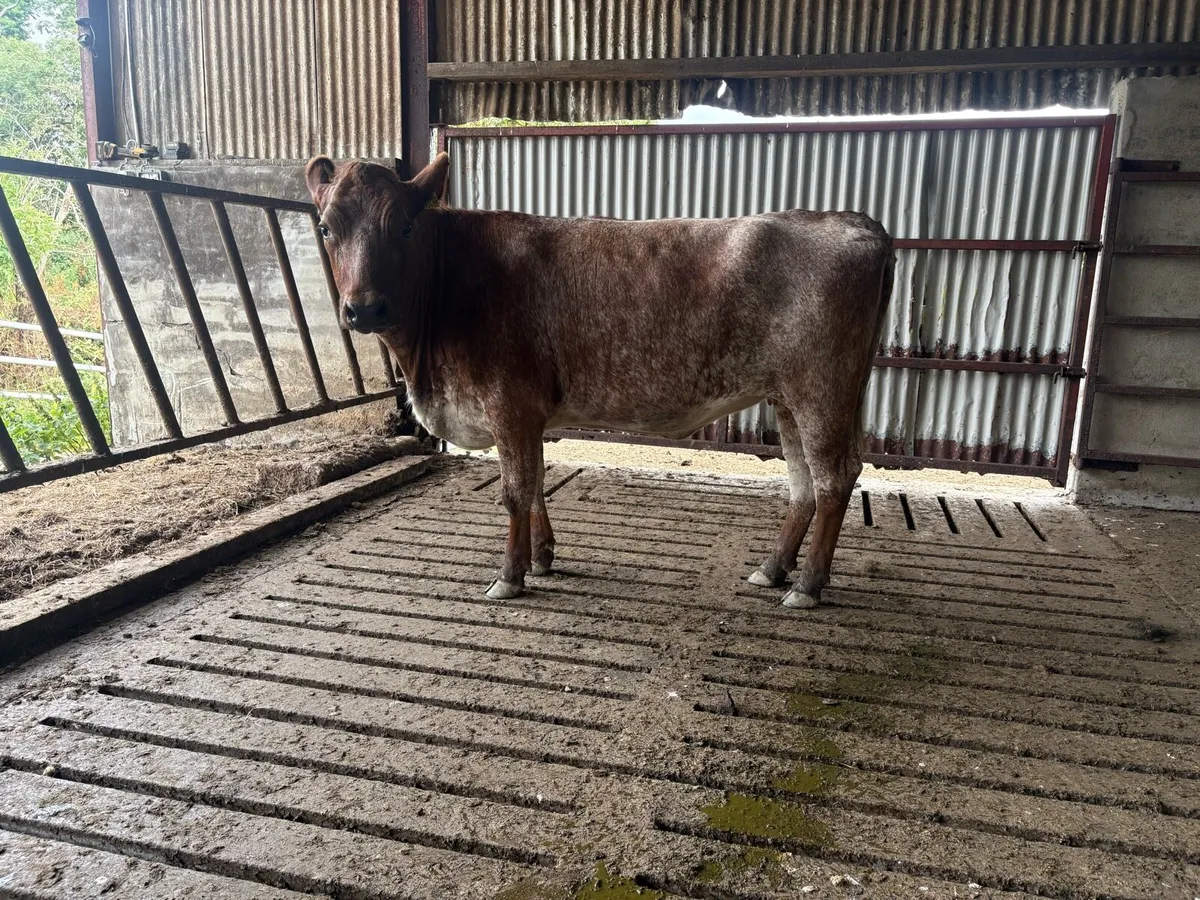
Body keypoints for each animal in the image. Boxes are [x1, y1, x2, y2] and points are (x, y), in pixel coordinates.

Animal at [307, 152, 894, 610]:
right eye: (326, 228)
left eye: (403, 226)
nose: (364, 309)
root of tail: (852, 220)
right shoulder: (528, 414)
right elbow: (536, 484)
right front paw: (542, 559)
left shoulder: (510, 404)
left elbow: (515, 491)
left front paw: (509, 576)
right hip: (789, 397)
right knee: (802, 484)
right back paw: (773, 569)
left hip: (822, 388)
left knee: (835, 477)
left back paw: (808, 586)